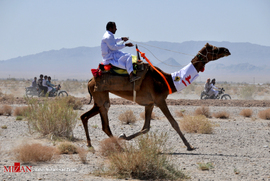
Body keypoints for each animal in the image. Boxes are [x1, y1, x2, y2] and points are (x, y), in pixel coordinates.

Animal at [80, 43, 230, 151]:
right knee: (104, 123)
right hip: (100, 94)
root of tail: (91, 80)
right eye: (214, 48)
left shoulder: (150, 104)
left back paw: (89, 144)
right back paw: (119, 147)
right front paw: (189, 146)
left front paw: (124, 136)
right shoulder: (160, 100)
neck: (168, 80)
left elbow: (145, 128)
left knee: (84, 116)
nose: (226, 50)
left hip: (99, 97)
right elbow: (174, 123)